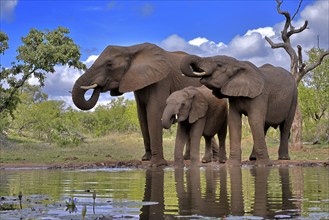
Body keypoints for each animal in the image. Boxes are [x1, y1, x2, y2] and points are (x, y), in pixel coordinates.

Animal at [71, 42, 202, 167]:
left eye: (109, 65)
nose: (97, 86)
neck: (130, 49)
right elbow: (142, 115)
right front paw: (146, 158)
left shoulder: (162, 80)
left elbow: (154, 112)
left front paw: (157, 164)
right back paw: (187, 158)